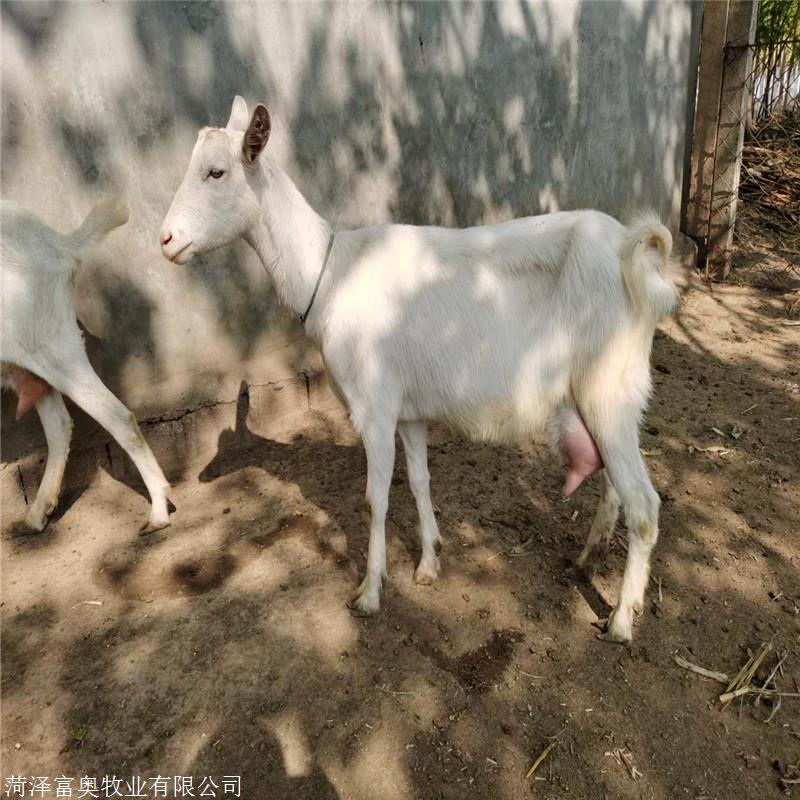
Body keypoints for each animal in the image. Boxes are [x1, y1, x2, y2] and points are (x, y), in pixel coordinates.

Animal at [161, 97, 676, 640]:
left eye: (216, 172)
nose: (165, 240)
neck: (330, 273)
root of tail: (634, 254)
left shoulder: (374, 407)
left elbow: (375, 498)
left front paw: (369, 592)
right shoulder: (408, 412)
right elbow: (419, 481)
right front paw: (429, 563)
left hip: (608, 388)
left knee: (644, 506)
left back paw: (621, 619)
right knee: (615, 490)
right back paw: (584, 562)